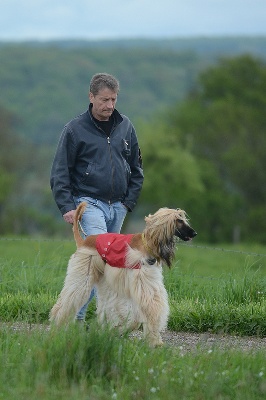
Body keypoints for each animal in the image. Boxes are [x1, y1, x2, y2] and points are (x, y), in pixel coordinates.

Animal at [50, 203, 196, 346]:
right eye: (179, 220)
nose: (194, 233)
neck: (146, 244)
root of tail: (84, 241)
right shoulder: (140, 279)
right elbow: (150, 307)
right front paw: (154, 340)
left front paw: (122, 329)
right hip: (84, 271)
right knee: (68, 299)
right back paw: (57, 328)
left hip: (103, 278)